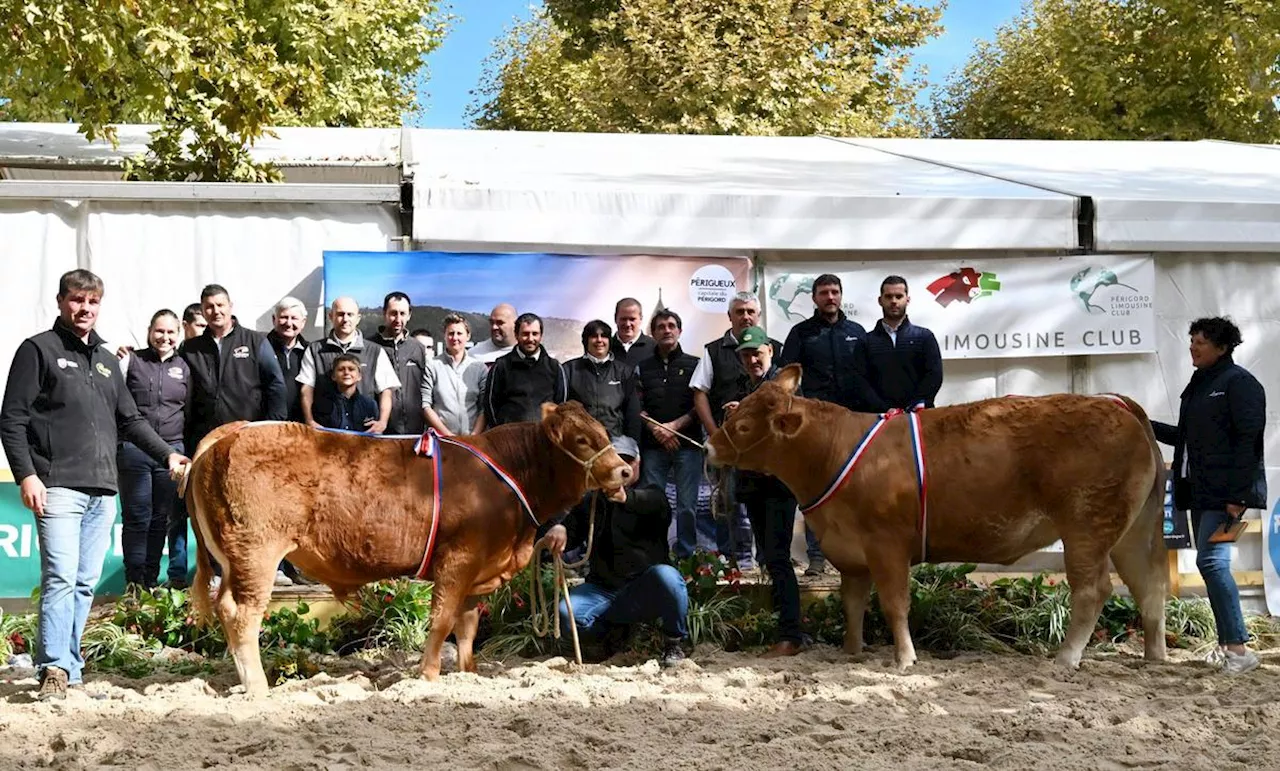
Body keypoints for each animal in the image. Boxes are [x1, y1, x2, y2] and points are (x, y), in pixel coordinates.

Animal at [172, 399, 632, 691]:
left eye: (602, 432)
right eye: (581, 441)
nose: (625, 471)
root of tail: (232, 432)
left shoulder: (477, 567)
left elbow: (467, 626)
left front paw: (468, 674)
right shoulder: (458, 559)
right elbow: (443, 620)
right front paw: (427, 675)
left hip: (234, 560)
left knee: (225, 608)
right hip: (257, 552)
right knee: (241, 614)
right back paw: (258, 687)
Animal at [711, 363, 1172, 671]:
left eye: (745, 425)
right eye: (735, 410)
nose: (711, 445)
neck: (833, 450)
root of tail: (1116, 403)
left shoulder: (887, 545)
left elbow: (894, 603)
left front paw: (904, 659)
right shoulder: (851, 554)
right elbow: (853, 605)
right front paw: (851, 652)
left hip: (1086, 527)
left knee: (1094, 589)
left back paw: (1066, 657)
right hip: (1133, 531)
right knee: (1149, 585)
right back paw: (1155, 656)